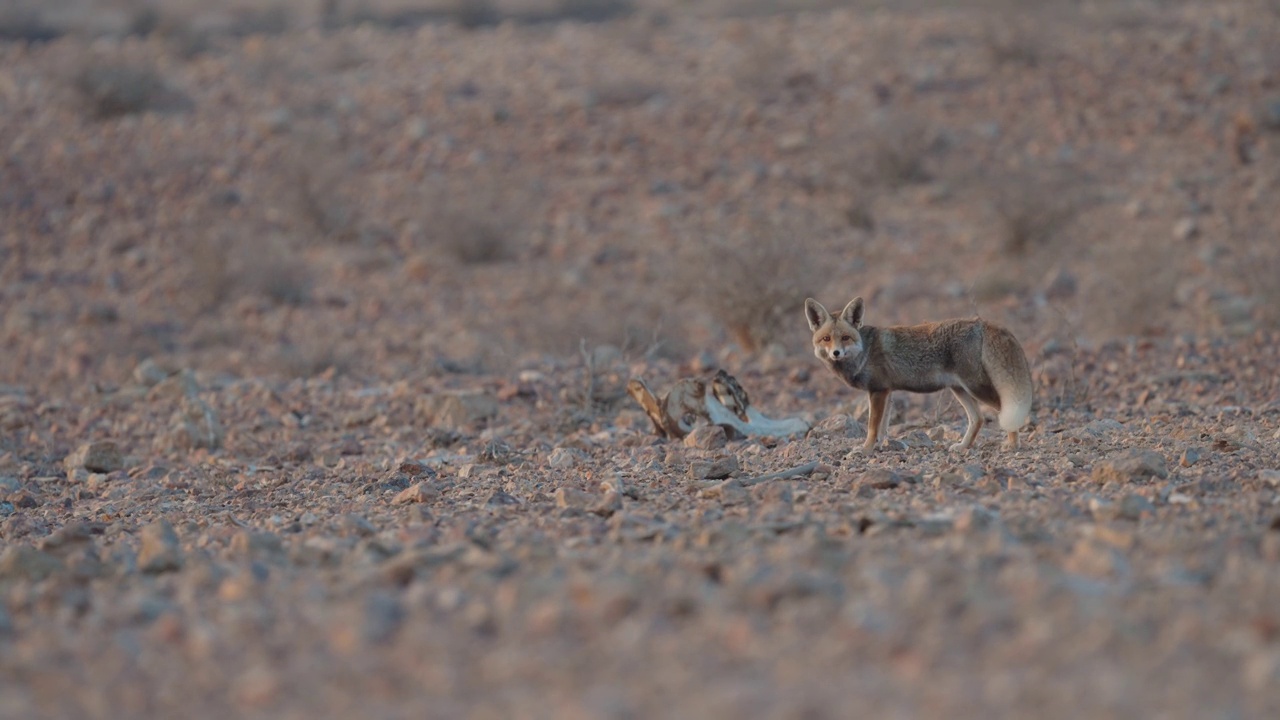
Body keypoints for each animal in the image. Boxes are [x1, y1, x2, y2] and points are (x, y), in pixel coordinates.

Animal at [803, 294, 1034, 450]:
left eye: (845, 338)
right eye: (826, 339)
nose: (836, 353)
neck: (864, 352)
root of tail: (980, 322)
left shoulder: (878, 390)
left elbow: (872, 426)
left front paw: (866, 449)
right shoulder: (887, 392)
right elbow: (882, 427)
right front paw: (881, 446)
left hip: (976, 387)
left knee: (1003, 411)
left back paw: (1013, 445)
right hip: (959, 389)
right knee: (977, 419)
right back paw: (963, 447)